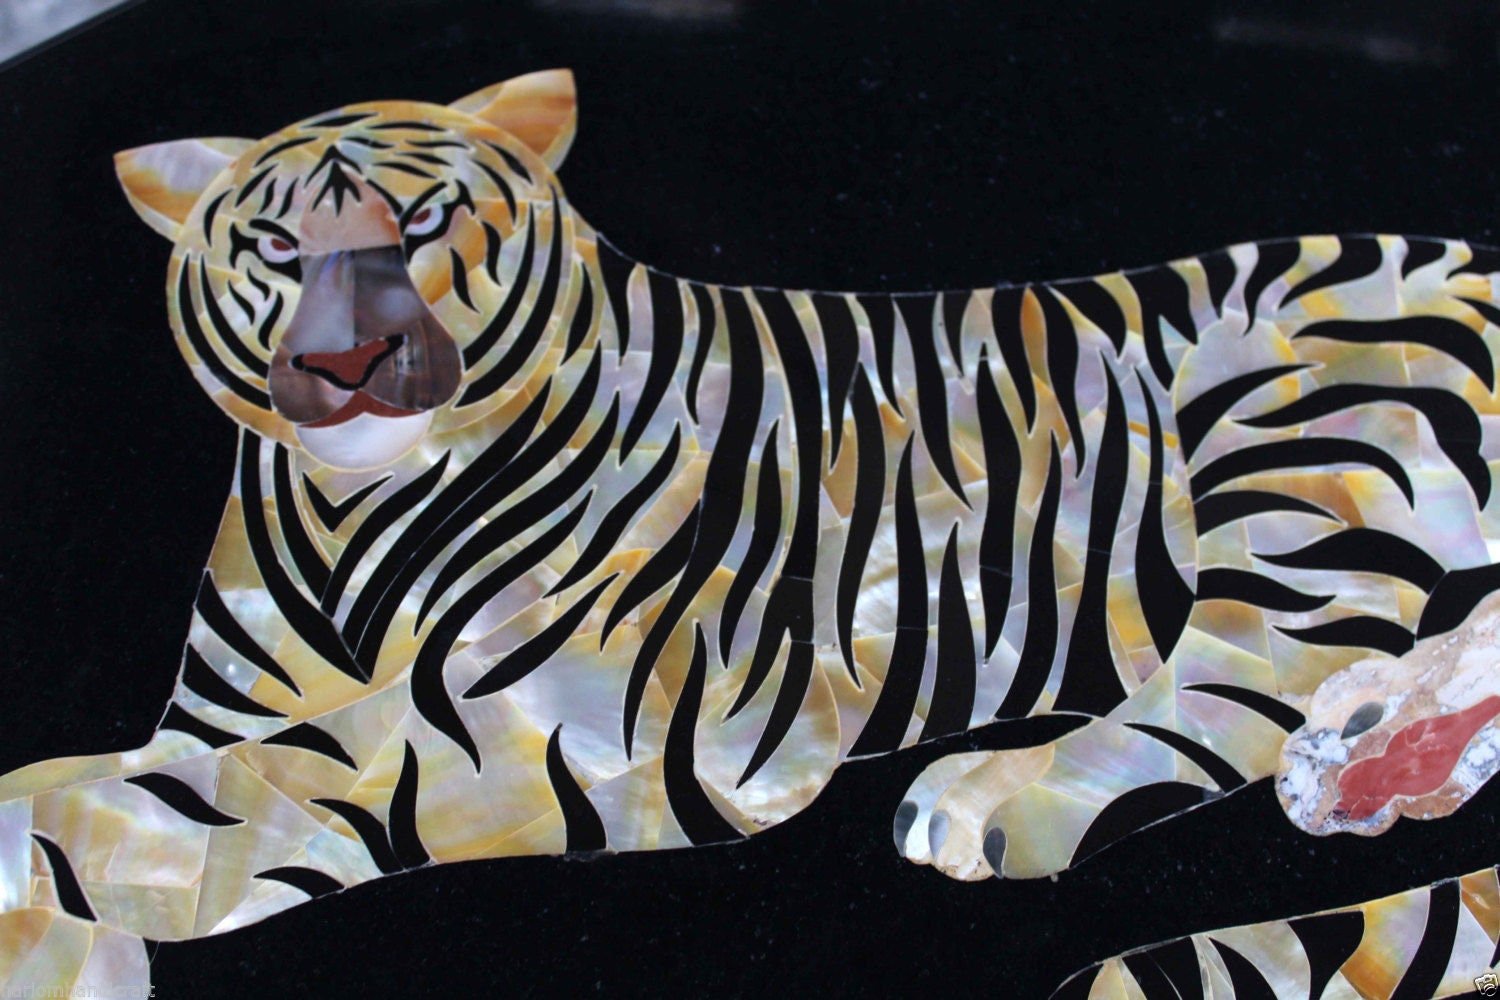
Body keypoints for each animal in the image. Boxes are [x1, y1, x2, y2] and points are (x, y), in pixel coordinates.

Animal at [3, 67, 1500, 996]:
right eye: (273, 250)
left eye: (423, 227)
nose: (351, 363)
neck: (345, 504)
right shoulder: (214, 705)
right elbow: (160, 775)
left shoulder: (583, 719)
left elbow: (244, 786)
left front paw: (74, 882)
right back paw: (1397, 755)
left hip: (1296, 422)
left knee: (1249, 679)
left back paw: (1003, 797)